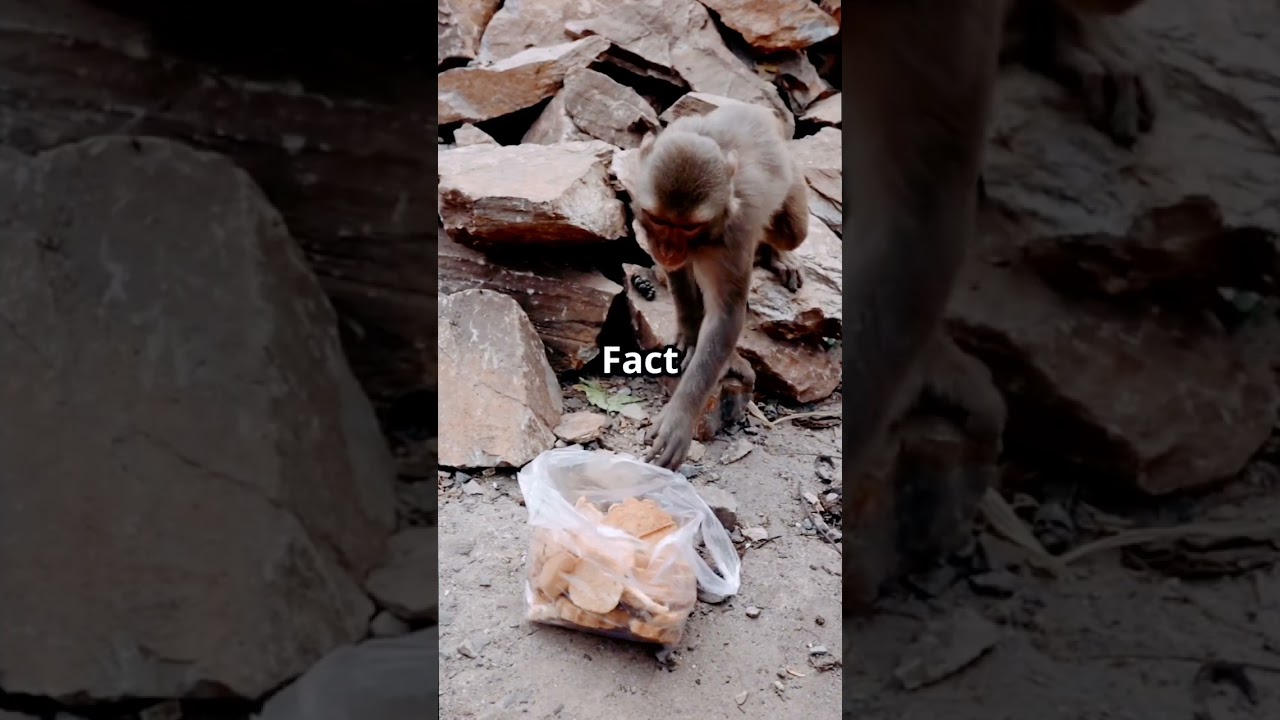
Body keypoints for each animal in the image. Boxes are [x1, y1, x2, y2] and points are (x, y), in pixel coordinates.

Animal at [631, 103, 810, 470]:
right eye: (658, 219)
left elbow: (726, 316)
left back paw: (778, 254)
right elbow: (682, 281)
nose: (668, 249)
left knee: (789, 230)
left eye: (689, 227)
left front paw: (680, 417)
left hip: (791, 194)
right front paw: (689, 334)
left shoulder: (733, 238)